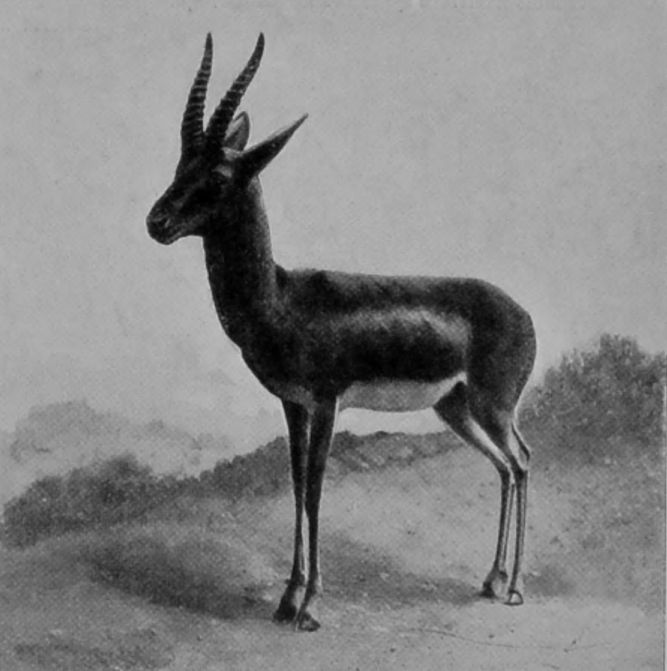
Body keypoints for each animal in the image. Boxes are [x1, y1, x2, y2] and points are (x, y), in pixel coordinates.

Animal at [146, 33, 536, 631]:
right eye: (179, 164)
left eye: (216, 177)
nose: (156, 222)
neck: (281, 298)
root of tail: (524, 313)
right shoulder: (294, 404)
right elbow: (295, 484)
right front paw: (286, 600)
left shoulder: (328, 402)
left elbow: (314, 489)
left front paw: (309, 606)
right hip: (456, 409)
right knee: (504, 467)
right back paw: (491, 581)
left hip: (493, 406)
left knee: (522, 461)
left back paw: (514, 587)